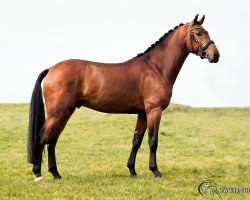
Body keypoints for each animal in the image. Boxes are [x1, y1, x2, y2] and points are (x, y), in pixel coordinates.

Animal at [26, 14, 219, 181]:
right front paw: (155, 171)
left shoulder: (142, 113)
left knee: (52, 140)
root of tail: (51, 69)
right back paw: (38, 174)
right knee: (43, 138)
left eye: (207, 32)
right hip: (57, 113)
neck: (156, 68)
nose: (215, 55)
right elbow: (153, 141)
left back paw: (56, 174)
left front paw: (132, 170)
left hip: (65, 112)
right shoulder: (154, 111)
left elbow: (136, 141)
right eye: (199, 33)